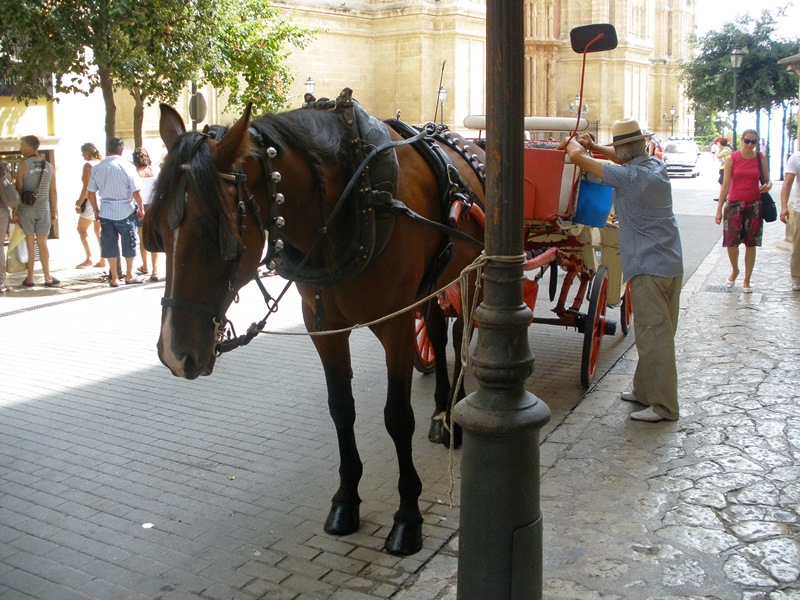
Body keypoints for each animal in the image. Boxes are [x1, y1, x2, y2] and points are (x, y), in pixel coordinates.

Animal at [147, 96, 484, 556]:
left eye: (219, 233)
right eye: (157, 232)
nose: (174, 354)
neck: (355, 197)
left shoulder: (395, 325)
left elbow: (397, 417)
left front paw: (407, 516)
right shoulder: (324, 327)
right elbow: (341, 409)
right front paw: (346, 500)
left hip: (472, 274)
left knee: (461, 336)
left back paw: (456, 414)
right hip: (434, 283)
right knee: (434, 330)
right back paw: (440, 412)